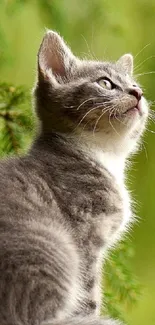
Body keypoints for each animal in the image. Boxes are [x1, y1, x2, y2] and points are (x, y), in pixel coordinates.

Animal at [0, 30, 148, 324]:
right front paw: (93, 316)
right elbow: (89, 293)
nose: (137, 92)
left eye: (135, 84)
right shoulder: (85, 236)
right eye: (105, 83)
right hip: (53, 246)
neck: (103, 155)